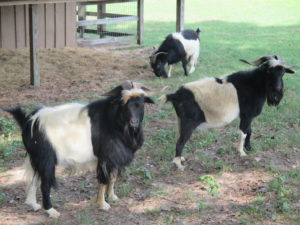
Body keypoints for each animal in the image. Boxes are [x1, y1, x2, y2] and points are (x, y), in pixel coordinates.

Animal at [1, 80, 159, 217]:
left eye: (141, 103)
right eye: (123, 103)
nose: (134, 122)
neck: (114, 121)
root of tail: (29, 121)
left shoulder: (113, 159)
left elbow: (112, 178)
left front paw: (113, 197)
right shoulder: (105, 157)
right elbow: (103, 180)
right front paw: (103, 204)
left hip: (34, 158)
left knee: (33, 179)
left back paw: (33, 205)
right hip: (46, 159)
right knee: (45, 184)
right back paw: (51, 211)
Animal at [159, 55, 296, 170]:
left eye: (283, 73)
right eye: (268, 71)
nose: (278, 89)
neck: (254, 84)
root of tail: (175, 95)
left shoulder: (246, 116)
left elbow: (249, 131)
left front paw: (249, 148)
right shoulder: (247, 116)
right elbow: (243, 133)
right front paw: (242, 153)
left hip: (180, 120)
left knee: (178, 138)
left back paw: (180, 158)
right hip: (188, 123)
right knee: (180, 142)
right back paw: (179, 165)